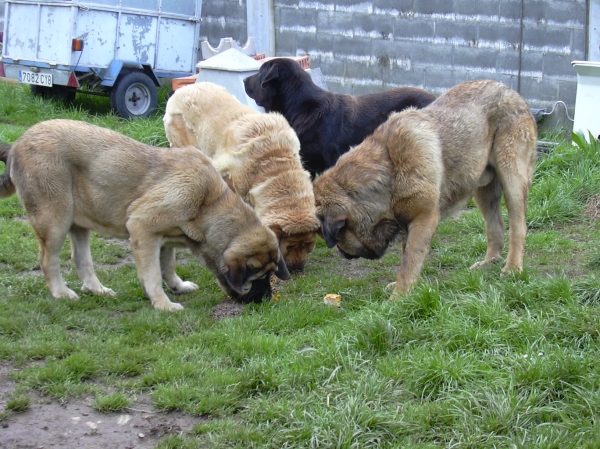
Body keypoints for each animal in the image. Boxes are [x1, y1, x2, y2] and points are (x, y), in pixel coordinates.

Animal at [0, 118, 290, 308]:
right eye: (258, 278)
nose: (266, 299)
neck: (209, 205)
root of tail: (18, 143)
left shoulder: (166, 237)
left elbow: (167, 265)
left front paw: (178, 286)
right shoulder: (142, 227)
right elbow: (152, 275)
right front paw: (163, 304)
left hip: (78, 223)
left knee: (81, 259)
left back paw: (97, 290)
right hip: (55, 220)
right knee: (48, 260)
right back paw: (61, 293)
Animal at [314, 79, 540, 298]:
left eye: (336, 236)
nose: (340, 253)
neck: (388, 171)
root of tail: (511, 91)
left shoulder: (424, 218)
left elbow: (409, 261)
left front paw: (399, 298)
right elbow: (406, 256)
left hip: (512, 176)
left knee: (518, 226)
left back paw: (512, 268)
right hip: (483, 188)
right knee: (496, 225)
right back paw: (489, 262)